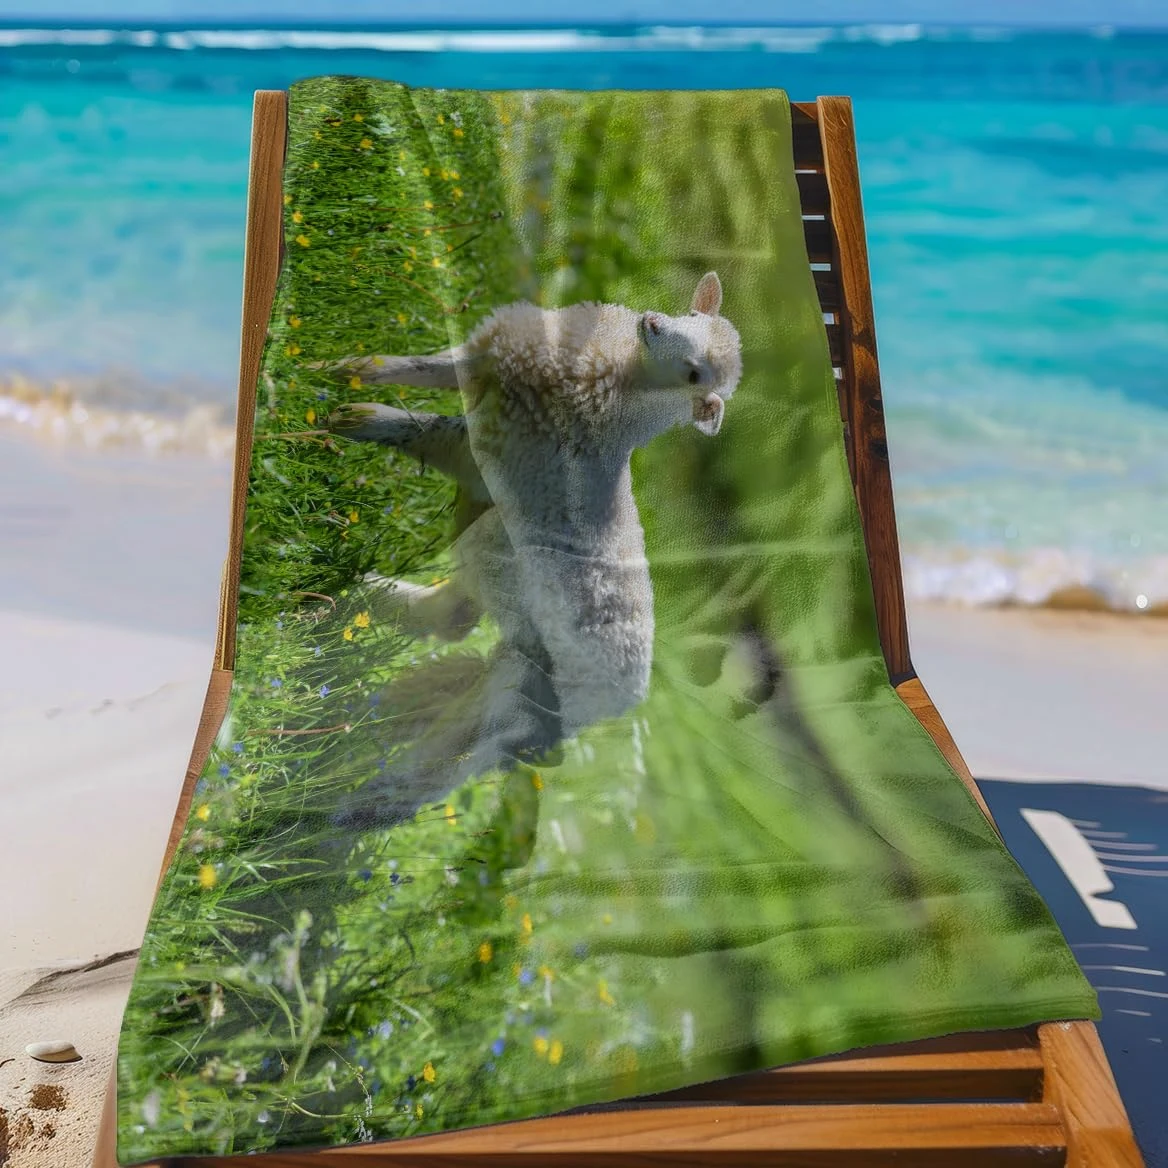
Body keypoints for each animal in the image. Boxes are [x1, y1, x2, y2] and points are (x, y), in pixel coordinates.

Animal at [324, 272, 742, 829]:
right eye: (690, 319)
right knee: (449, 623)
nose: (651, 322)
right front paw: (337, 374)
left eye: (696, 374)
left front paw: (349, 415)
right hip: (510, 638)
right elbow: (410, 373)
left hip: (508, 707)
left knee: (407, 786)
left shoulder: (493, 427)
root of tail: (614, 709)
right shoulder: (491, 378)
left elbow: (419, 414)